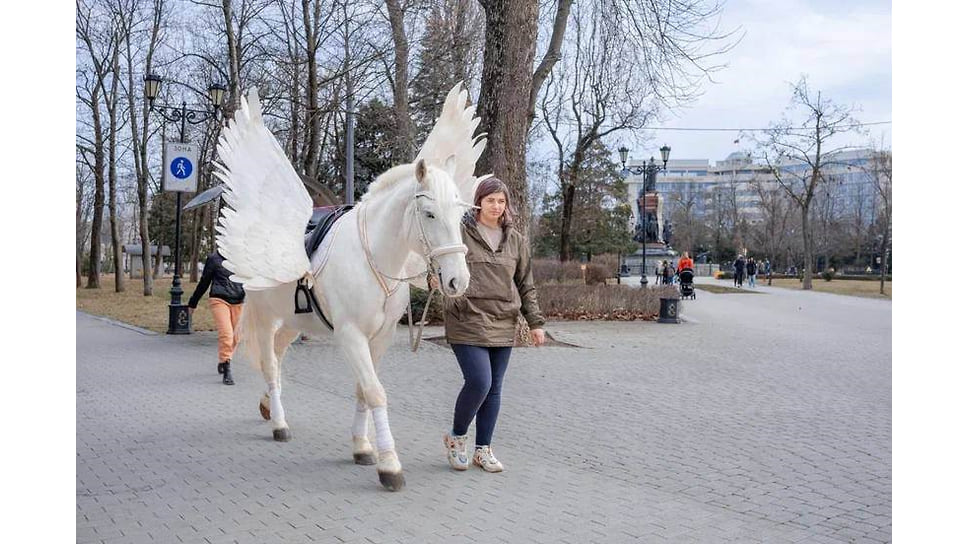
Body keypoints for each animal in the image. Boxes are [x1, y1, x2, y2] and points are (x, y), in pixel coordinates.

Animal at [212, 83, 484, 490]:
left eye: (461, 212)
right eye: (430, 213)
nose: (457, 280)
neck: (374, 260)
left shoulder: (380, 338)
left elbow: (363, 390)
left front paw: (362, 446)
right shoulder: (351, 335)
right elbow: (374, 391)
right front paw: (389, 464)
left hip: (293, 322)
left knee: (277, 355)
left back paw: (267, 405)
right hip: (266, 317)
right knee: (271, 365)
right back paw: (279, 422)